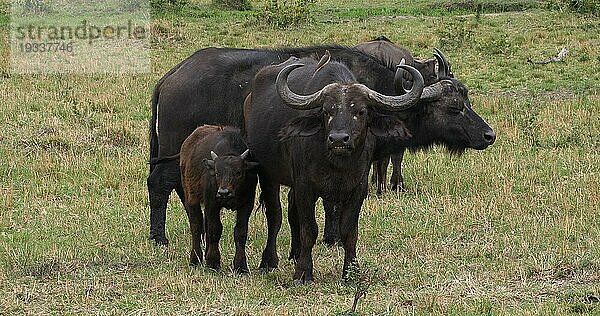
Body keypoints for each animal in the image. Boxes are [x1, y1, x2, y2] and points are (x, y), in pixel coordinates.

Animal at [180, 124, 260, 272]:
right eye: (217, 172)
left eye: (238, 172)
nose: (224, 192)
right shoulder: (212, 203)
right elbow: (215, 229)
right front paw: (213, 262)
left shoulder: (246, 205)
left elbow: (240, 232)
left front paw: (241, 266)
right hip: (191, 197)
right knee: (196, 226)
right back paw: (195, 259)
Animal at [244, 55, 422, 284]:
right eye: (327, 111)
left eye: (360, 111)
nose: (338, 139)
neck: (337, 164)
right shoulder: (305, 187)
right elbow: (309, 230)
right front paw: (303, 273)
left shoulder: (358, 189)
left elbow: (348, 231)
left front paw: (351, 272)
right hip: (268, 174)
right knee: (275, 215)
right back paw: (269, 261)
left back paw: (295, 253)